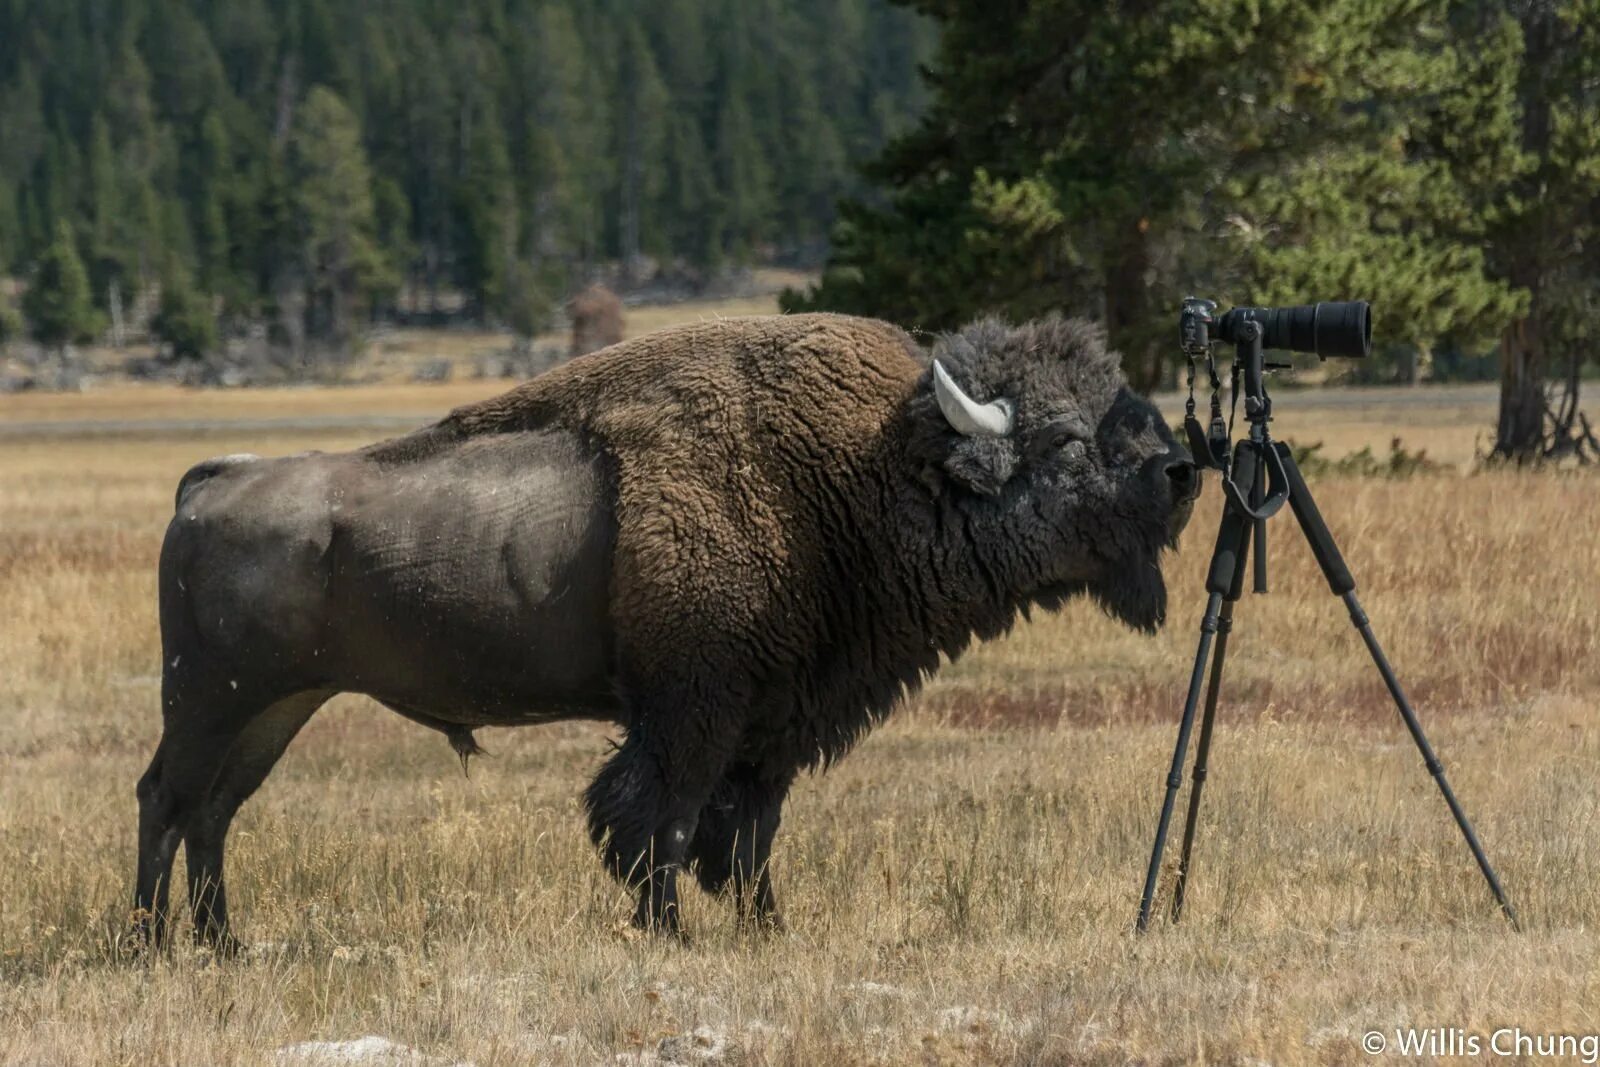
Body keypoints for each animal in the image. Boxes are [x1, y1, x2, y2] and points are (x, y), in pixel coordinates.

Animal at [131, 313, 1196, 947]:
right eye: (1065, 439)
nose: (1181, 473)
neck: (861, 471)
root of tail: (209, 481)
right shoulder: (692, 709)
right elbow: (664, 820)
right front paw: (671, 929)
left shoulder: (773, 723)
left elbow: (751, 833)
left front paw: (767, 928)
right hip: (211, 701)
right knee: (168, 800)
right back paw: (149, 942)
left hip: (278, 708)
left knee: (214, 811)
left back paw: (223, 943)